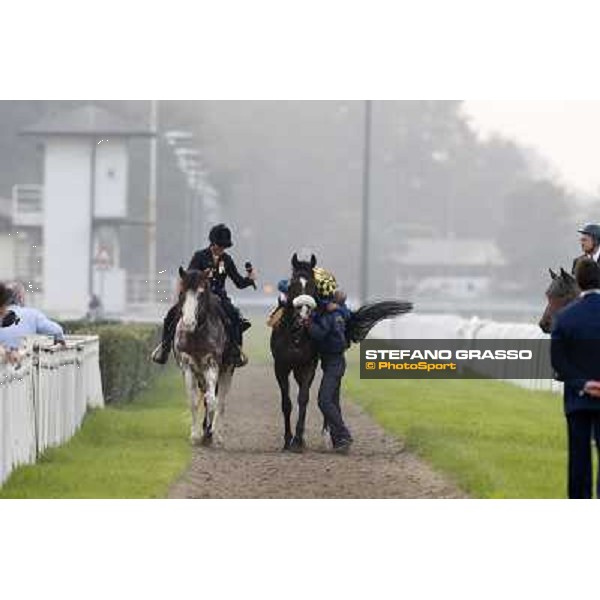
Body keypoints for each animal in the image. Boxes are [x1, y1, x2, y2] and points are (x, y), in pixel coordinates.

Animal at [173, 268, 234, 446]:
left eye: (201, 294)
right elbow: (193, 401)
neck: (196, 336)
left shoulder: (212, 364)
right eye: (182, 292)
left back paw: (216, 435)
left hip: (227, 371)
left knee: (220, 402)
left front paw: (210, 431)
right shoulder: (187, 366)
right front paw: (195, 435)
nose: (188, 323)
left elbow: (212, 400)